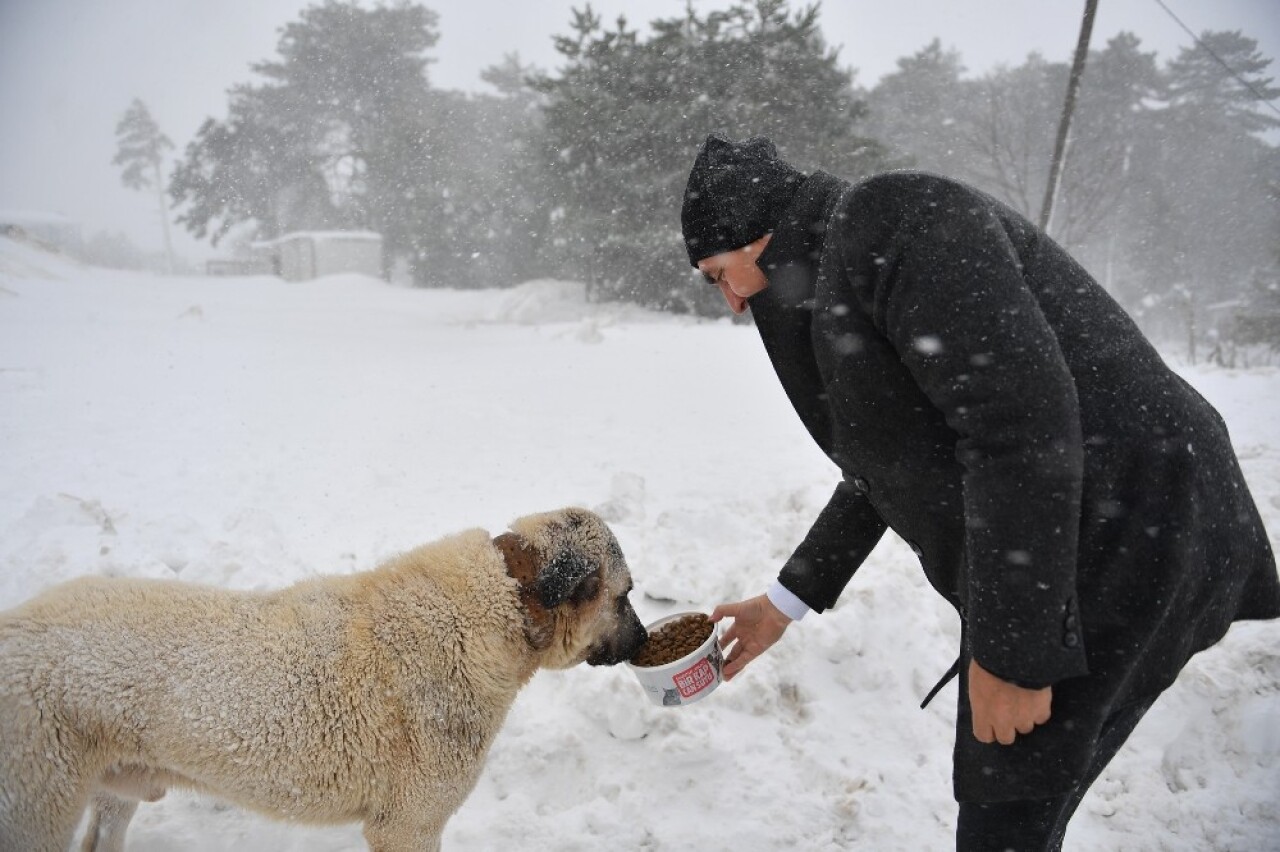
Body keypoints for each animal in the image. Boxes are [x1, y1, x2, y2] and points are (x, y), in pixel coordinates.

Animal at [0, 506, 650, 844]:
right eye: (624, 597)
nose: (645, 641)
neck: (503, 603)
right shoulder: (409, 825)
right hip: (36, 806)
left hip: (111, 791)